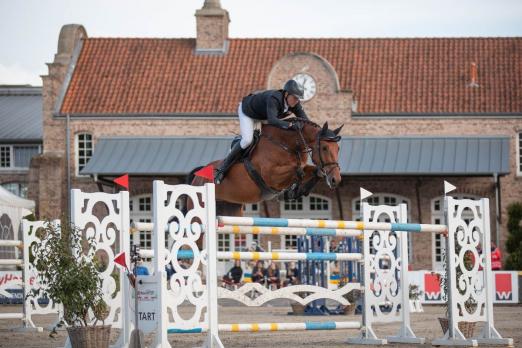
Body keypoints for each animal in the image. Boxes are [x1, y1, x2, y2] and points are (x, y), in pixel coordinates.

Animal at [189, 119, 344, 218]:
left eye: (338, 148)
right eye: (324, 148)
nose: (336, 180)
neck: (285, 144)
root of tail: (197, 176)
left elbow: (313, 171)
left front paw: (297, 191)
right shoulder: (271, 176)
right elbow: (298, 170)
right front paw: (294, 191)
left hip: (231, 209)